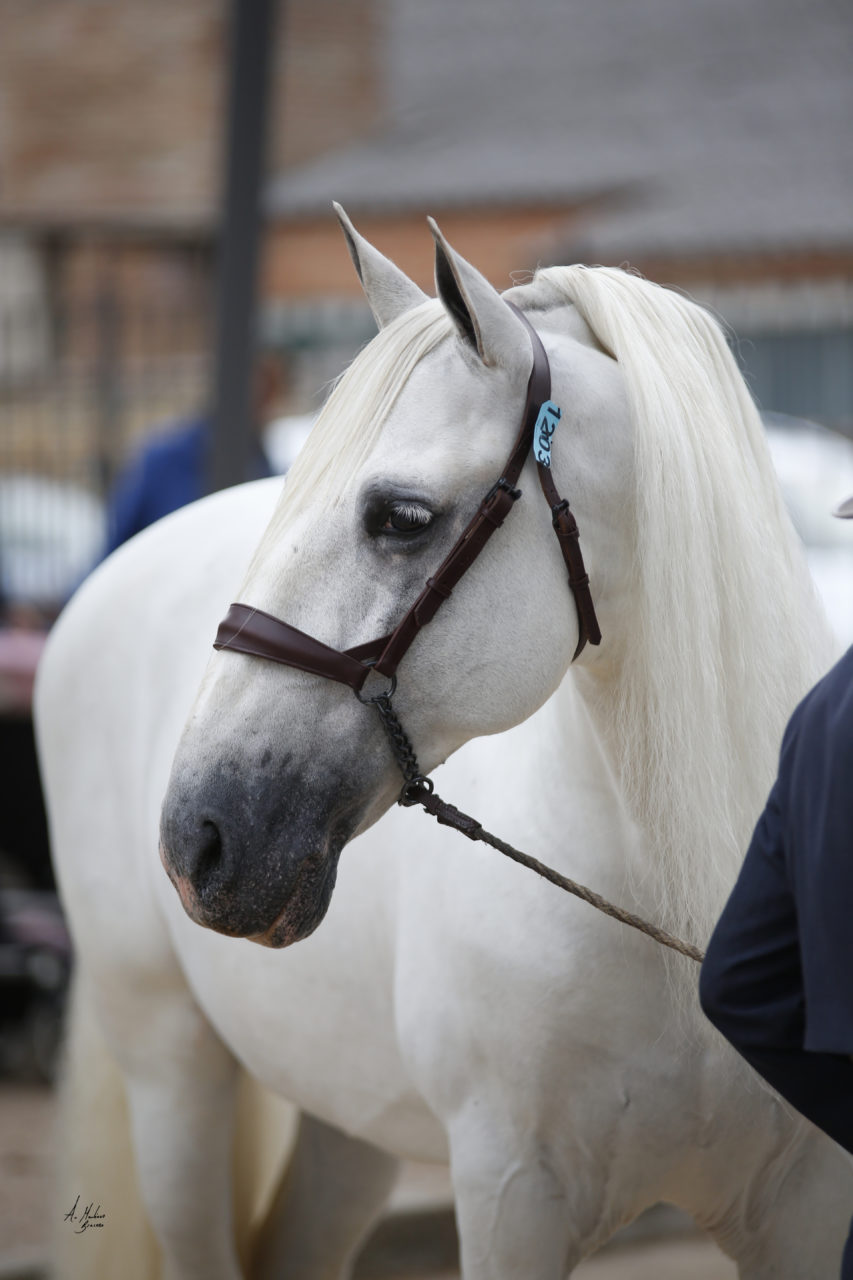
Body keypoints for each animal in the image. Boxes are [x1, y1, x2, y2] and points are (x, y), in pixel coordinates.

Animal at [36, 215, 845, 1274]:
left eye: (400, 517)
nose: (197, 839)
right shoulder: (511, 1195)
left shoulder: (804, 1208)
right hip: (172, 1074)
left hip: (348, 1118)